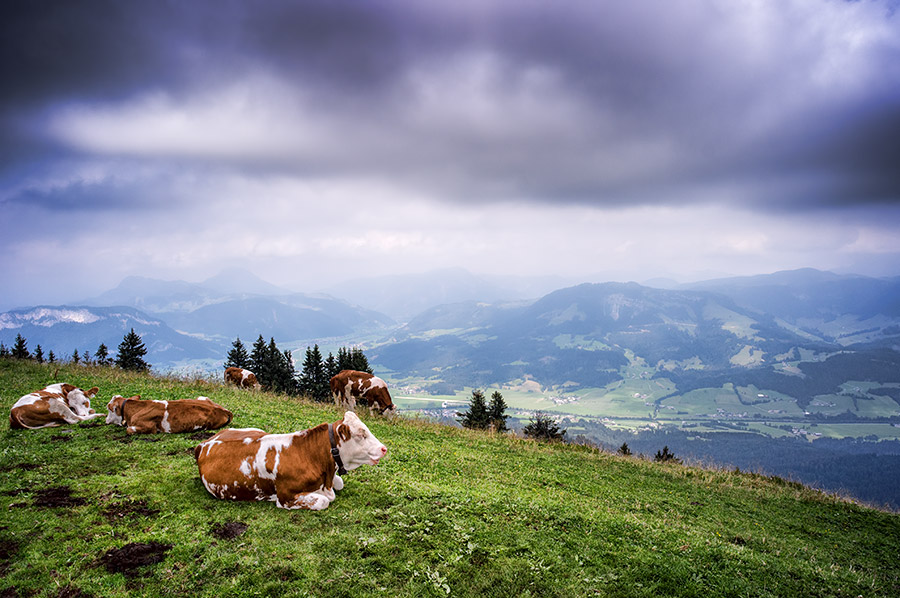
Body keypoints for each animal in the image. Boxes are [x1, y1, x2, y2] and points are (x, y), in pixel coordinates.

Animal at [197, 412, 386, 510]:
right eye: (361, 434)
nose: (383, 448)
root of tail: (204, 443)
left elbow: (339, 483)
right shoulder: (285, 498)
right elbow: (324, 501)